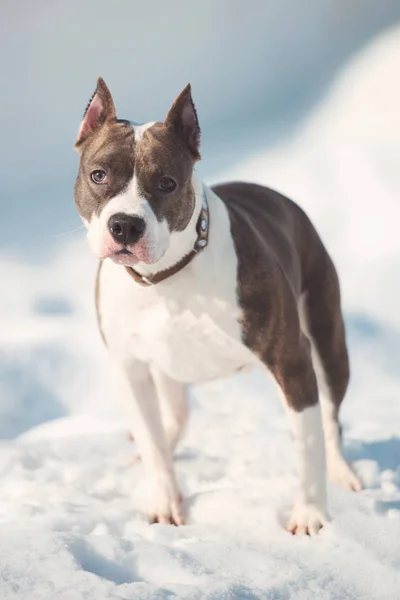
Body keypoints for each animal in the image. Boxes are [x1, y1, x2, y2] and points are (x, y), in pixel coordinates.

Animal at [72, 77, 362, 532]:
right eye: (98, 175)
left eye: (167, 183)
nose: (124, 225)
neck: (166, 278)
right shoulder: (131, 366)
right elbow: (154, 441)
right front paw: (164, 502)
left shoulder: (292, 361)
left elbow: (307, 442)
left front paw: (310, 515)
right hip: (164, 366)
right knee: (173, 416)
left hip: (326, 339)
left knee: (331, 419)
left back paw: (342, 473)